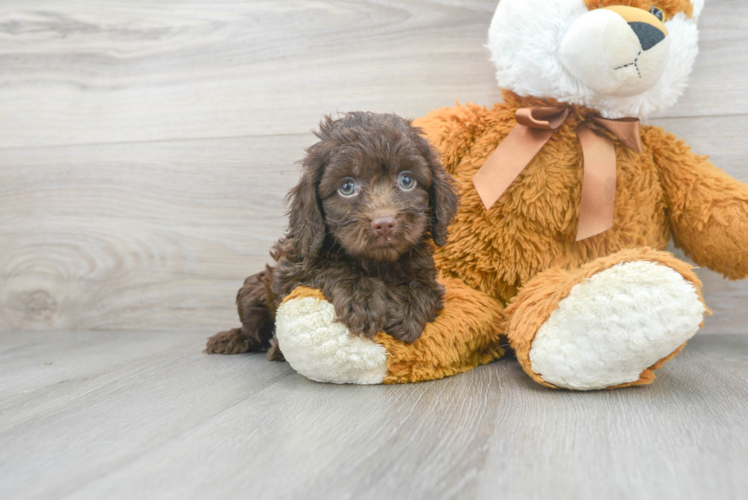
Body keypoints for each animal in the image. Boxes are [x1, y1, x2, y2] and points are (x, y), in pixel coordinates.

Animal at [207, 112, 458, 360]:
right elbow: (328, 266)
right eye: (346, 187)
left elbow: (424, 286)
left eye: (407, 181)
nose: (385, 223)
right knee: (253, 328)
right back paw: (234, 339)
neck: (375, 263)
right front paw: (362, 296)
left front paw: (409, 306)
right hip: (253, 291)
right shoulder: (293, 267)